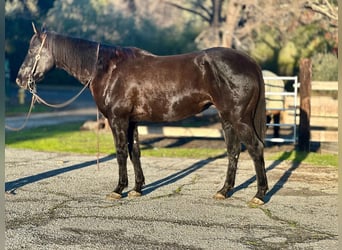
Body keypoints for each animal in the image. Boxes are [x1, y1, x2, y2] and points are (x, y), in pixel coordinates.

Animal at [15, 24, 268, 206]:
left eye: (32, 51)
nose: (19, 79)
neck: (108, 69)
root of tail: (250, 62)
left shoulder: (117, 120)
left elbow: (120, 153)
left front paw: (119, 189)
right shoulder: (132, 121)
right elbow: (134, 152)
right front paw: (137, 188)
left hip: (238, 118)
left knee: (255, 148)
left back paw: (259, 195)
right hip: (227, 119)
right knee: (233, 151)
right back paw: (224, 191)